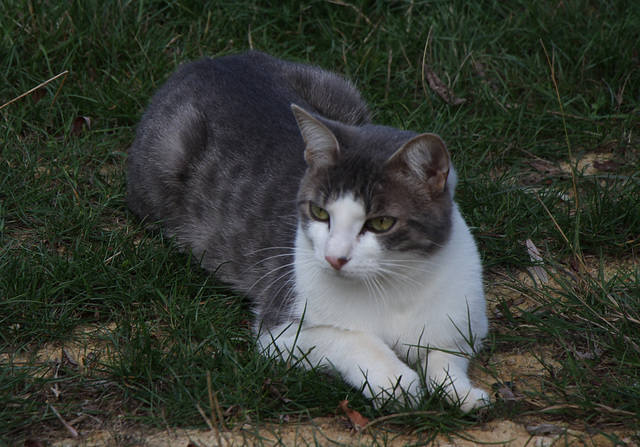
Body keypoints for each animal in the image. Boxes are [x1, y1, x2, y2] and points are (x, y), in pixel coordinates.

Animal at [129, 50, 490, 412]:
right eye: (319, 212)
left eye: (381, 222)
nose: (335, 257)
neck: (392, 287)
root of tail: (211, 60)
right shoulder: (279, 330)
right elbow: (351, 338)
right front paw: (396, 379)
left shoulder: (463, 326)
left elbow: (444, 358)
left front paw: (464, 393)